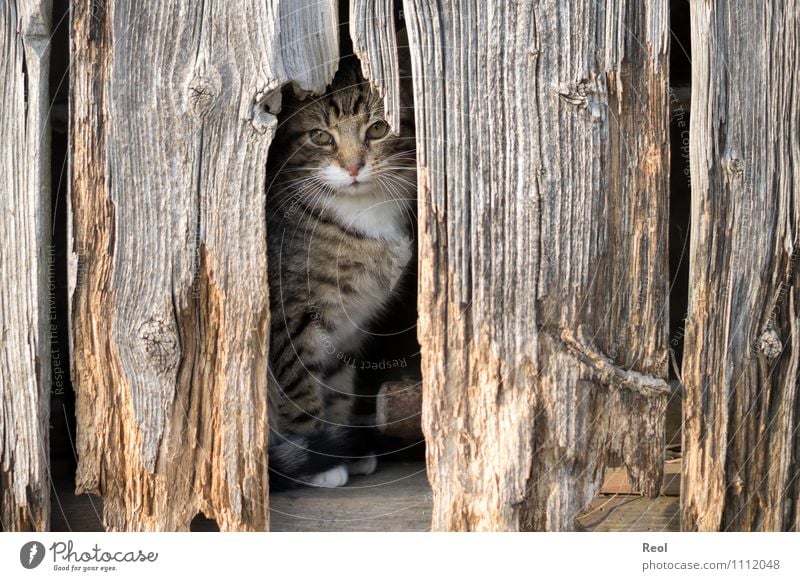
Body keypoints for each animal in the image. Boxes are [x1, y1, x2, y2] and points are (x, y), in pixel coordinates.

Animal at [268, 57, 418, 490]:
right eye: (320, 137)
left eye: (378, 129)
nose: (353, 167)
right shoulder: (289, 317)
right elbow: (298, 385)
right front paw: (319, 460)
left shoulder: (350, 322)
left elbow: (337, 383)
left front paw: (339, 444)